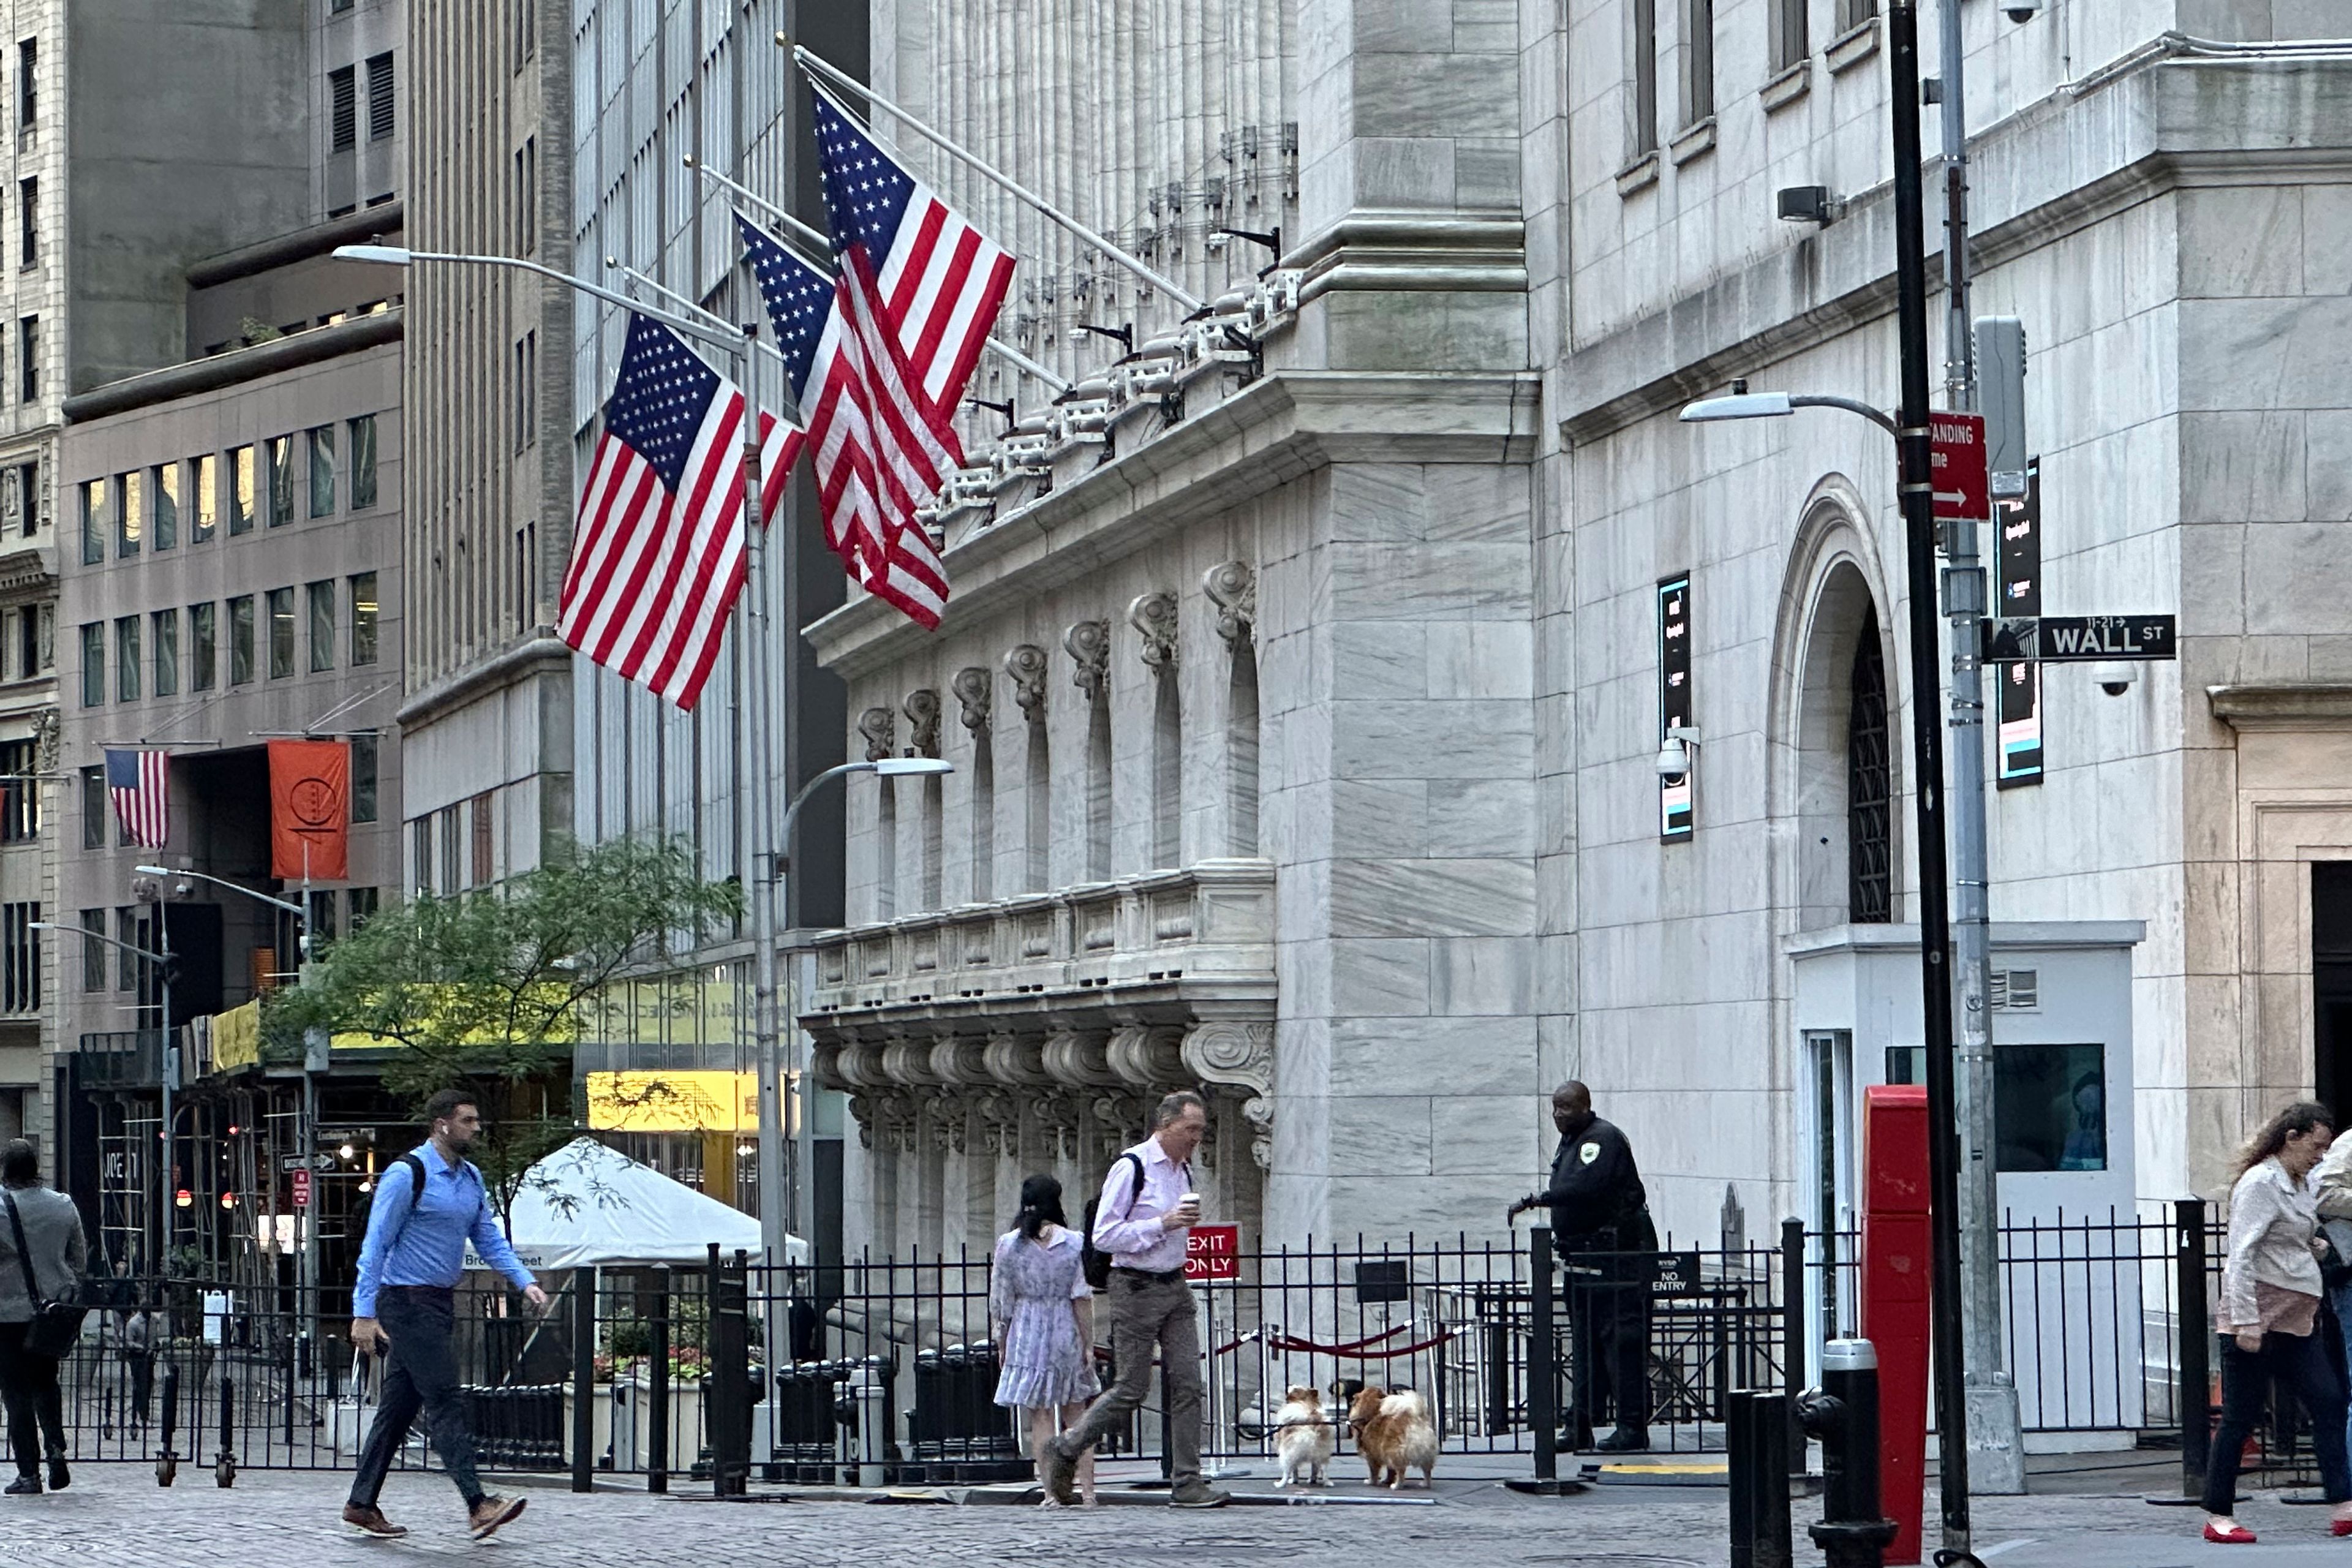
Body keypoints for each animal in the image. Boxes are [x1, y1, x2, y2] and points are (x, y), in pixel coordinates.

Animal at [1279, 1382, 1336, 1485]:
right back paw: (1327, 1482)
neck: (1306, 1402)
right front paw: (1312, 1480)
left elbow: (1295, 1471)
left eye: (1295, 1388)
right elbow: (1314, 1469)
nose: (1290, 1384)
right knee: (1323, 1470)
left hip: (1287, 1454)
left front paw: (1294, 1481)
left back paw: (1281, 1483)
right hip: (1322, 1453)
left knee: (1287, 1470)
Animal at [1354, 1392, 1439, 1495]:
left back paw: (1397, 1486)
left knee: (1401, 1472)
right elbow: (1390, 1471)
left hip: (1395, 1454)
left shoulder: (1372, 1457)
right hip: (1426, 1455)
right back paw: (1425, 1484)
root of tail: (1416, 1419)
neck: (1372, 1416)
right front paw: (1386, 1480)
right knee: (1427, 1472)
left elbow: (1373, 1473)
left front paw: (1371, 1482)